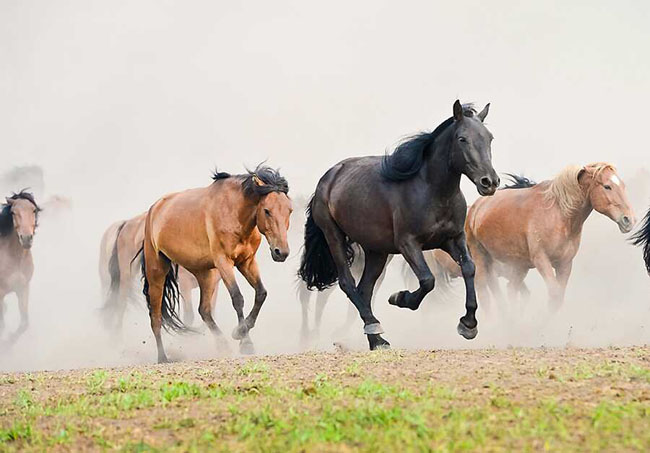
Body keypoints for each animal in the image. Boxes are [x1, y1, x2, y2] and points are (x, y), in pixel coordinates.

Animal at [0, 191, 40, 342]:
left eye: (34, 210)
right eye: (13, 212)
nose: (26, 238)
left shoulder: (23, 288)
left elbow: (24, 323)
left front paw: (9, 340)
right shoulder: (0, 293)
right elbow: (2, 325)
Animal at [145, 164, 294, 362]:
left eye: (289, 210)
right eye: (267, 210)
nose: (281, 252)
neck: (235, 212)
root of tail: (154, 209)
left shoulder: (247, 262)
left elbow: (261, 293)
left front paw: (239, 333)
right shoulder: (224, 262)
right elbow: (237, 298)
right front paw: (245, 341)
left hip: (205, 274)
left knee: (204, 310)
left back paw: (223, 345)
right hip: (157, 271)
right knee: (156, 317)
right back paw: (163, 358)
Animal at [298, 100, 496, 350]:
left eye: (489, 138)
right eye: (462, 138)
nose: (489, 182)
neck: (432, 190)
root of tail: (328, 177)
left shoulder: (453, 238)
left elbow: (469, 268)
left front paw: (468, 325)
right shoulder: (408, 243)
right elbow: (427, 280)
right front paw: (400, 298)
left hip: (376, 250)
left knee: (364, 289)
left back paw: (375, 339)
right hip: (333, 236)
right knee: (347, 283)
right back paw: (373, 328)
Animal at [464, 163, 636, 310]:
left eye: (623, 186)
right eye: (607, 186)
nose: (629, 220)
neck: (559, 215)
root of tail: (475, 208)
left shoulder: (565, 264)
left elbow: (557, 299)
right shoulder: (541, 260)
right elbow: (554, 294)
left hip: (518, 265)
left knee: (511, 289)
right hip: (481, 258)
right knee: (483, 290)